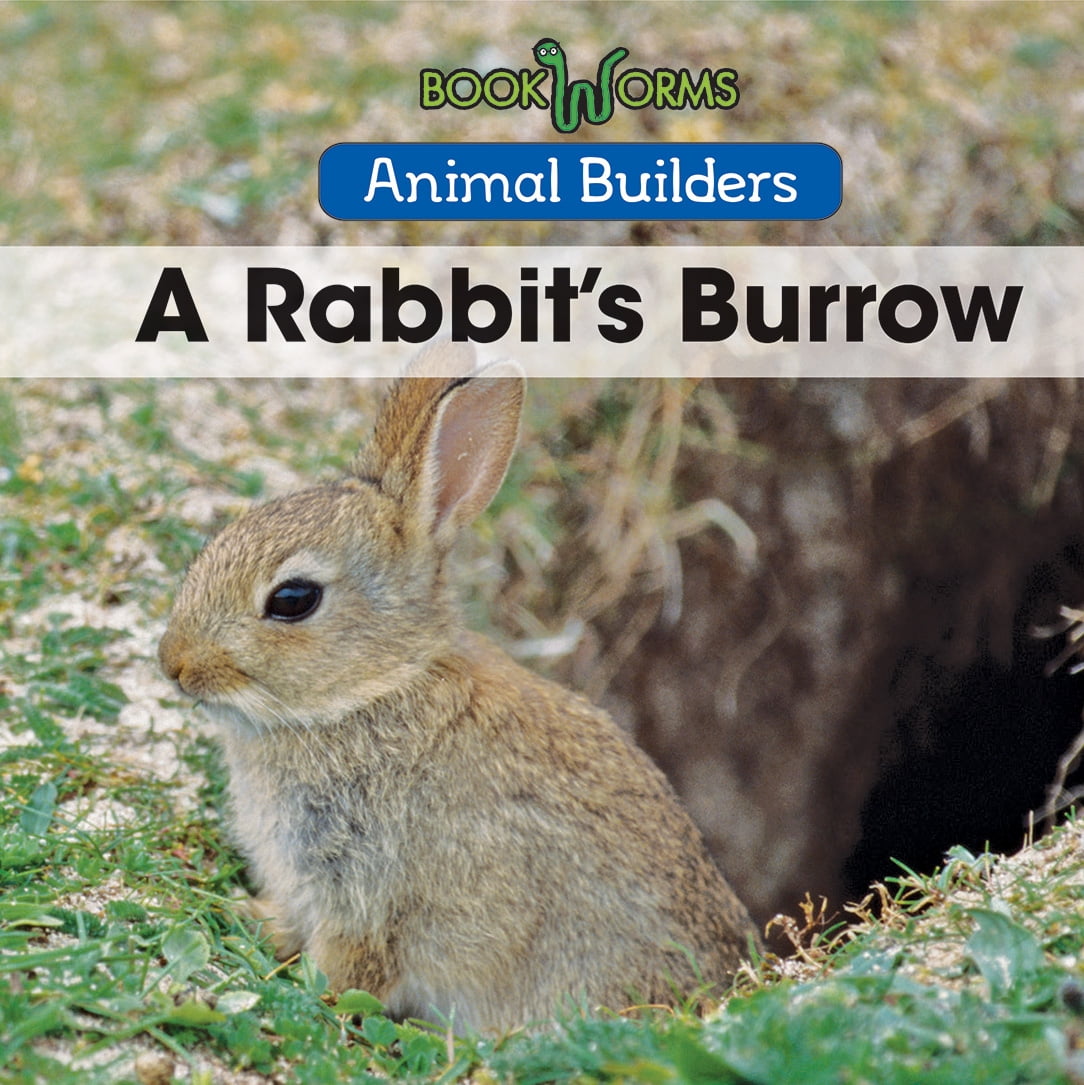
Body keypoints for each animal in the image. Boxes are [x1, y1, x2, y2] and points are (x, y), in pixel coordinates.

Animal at [158, 345, 759, 1032]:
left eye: (293, 599)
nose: (174, 663)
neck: (375, 688)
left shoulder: (366, 891)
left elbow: (351, 967)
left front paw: (310, 987)